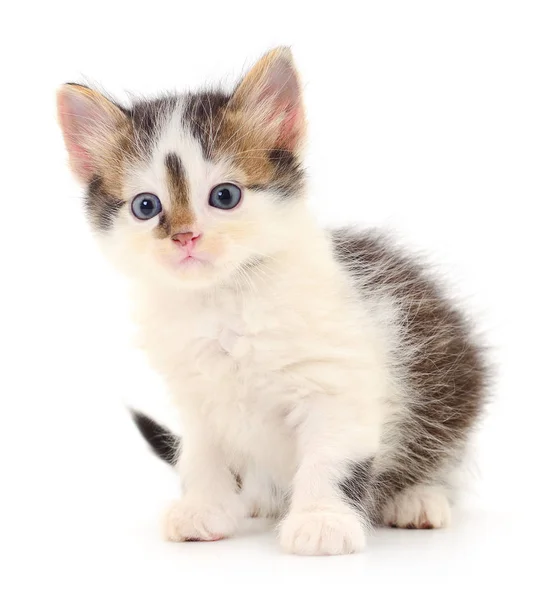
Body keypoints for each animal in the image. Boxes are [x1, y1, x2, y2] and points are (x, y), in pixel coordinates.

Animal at [56, 45, 488, 552]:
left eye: (225, 196)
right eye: (146, 206)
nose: (185, 237)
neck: (223, 300)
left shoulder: (338, 379)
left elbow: (331, 458)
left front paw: (322, 521)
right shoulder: (196, 397)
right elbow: (199, 456)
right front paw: (203, 508)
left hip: (451, 385)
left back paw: (417, 497)